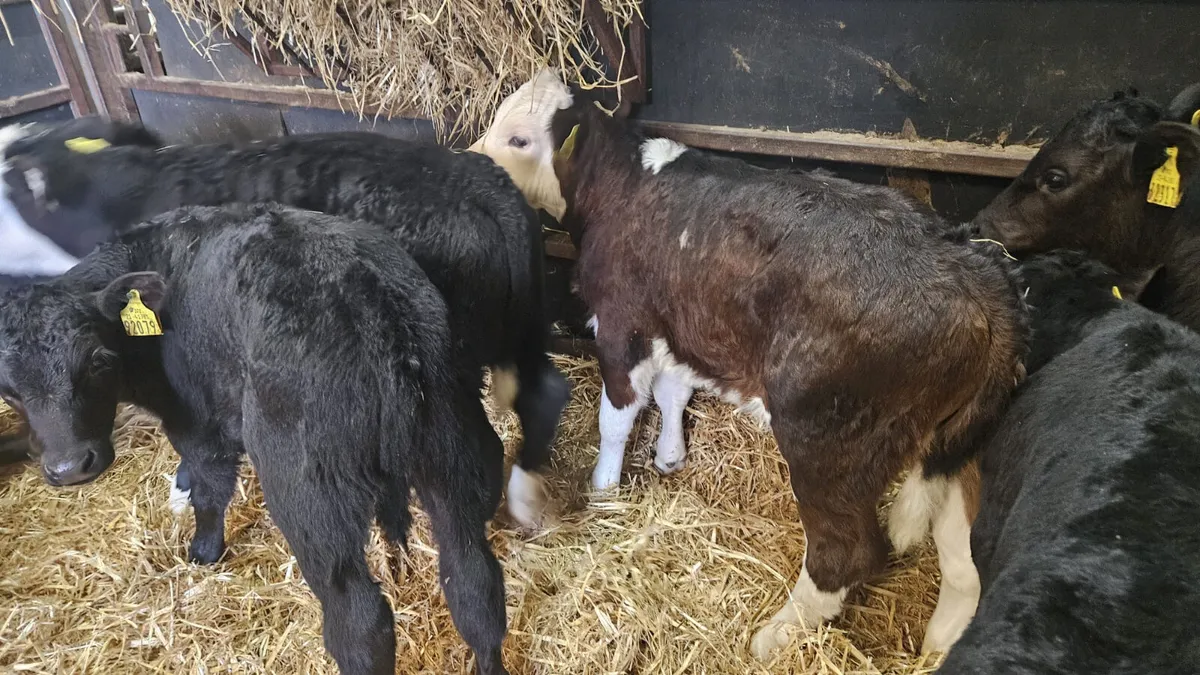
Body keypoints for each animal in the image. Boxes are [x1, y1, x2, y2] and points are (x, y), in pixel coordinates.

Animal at [0, 120, 570, 529]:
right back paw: (524, 498)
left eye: (10, 191)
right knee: (545, 392)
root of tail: (481, 178)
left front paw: (185, 489)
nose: (68, 466)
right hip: (522, 330)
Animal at [0, 203, 511, 675]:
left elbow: (209, 491)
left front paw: (203, 553)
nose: (69, 466)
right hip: (451, 450)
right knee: (473, 583)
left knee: (361, 620)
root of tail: (372, 303)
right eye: (9, 390)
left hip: (310, 494)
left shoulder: (197, 423)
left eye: (98, 361)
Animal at [474, 71, 1029, 658]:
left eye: (518, 139)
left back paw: (775, 636)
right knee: (964, 550)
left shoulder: (624, 319)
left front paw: (604, 490)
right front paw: (669, 456)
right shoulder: (682, 320)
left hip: (826, 435)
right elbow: (674, 390)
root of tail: (975, 269)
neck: (623, 186)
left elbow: (618, 416)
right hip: (957, 445)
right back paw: (941, 644)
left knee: (848, 552)